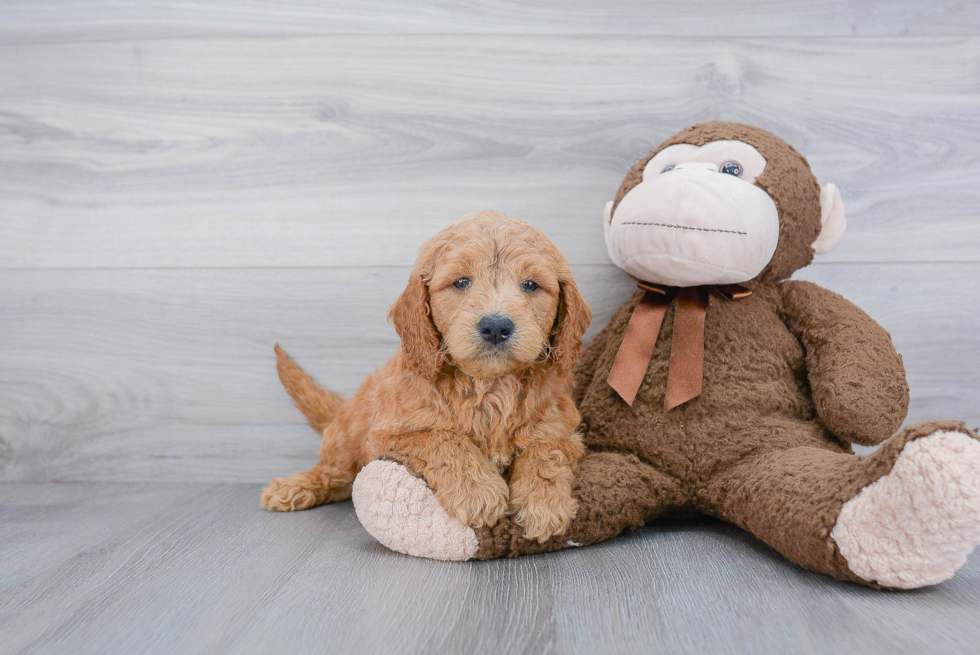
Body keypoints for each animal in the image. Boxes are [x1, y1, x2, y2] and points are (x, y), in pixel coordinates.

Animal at [260, 211, 592, 544]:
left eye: (530, 285)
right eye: (461, 282)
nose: (496, 326)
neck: (490, 383)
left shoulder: (561, 428)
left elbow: (546, 450)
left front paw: (543, 504)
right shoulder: (389, 433)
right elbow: (443, 438)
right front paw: (478, 491)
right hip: (345, 439)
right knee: (334, 474)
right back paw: (294, 487)